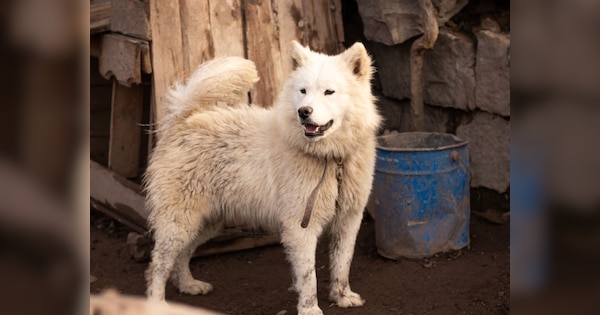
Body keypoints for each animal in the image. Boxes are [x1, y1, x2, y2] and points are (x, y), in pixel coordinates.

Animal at [144, 42, 380, 315]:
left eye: (329, 92)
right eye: (303, 91)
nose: (304, 112)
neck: (331, 159)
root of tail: (183, 118)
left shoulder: (348, 220)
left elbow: (342, 263)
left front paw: (342, 296)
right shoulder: (301, 227)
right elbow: (308, 276)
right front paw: (309, 309)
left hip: (205, 223)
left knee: (182, 256)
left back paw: (189, 285)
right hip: (179, 222)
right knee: (158, 265)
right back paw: (156, 304)